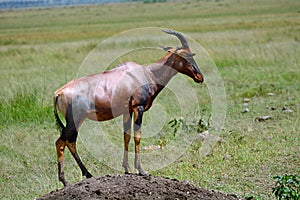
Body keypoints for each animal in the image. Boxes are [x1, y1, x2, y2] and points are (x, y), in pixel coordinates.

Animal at [54, 29, 204, 186]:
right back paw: (69, 180)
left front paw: (127, 169)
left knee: (68, 142)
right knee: (63, 142)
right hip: (76, 120)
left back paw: (82, 175)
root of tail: (59, 92)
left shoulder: (128, 111)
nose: (200, 77)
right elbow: (137, 136)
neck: (146, 73)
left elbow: (126, 136)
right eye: (187, 56)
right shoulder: (139, 108)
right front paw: (141, 170)